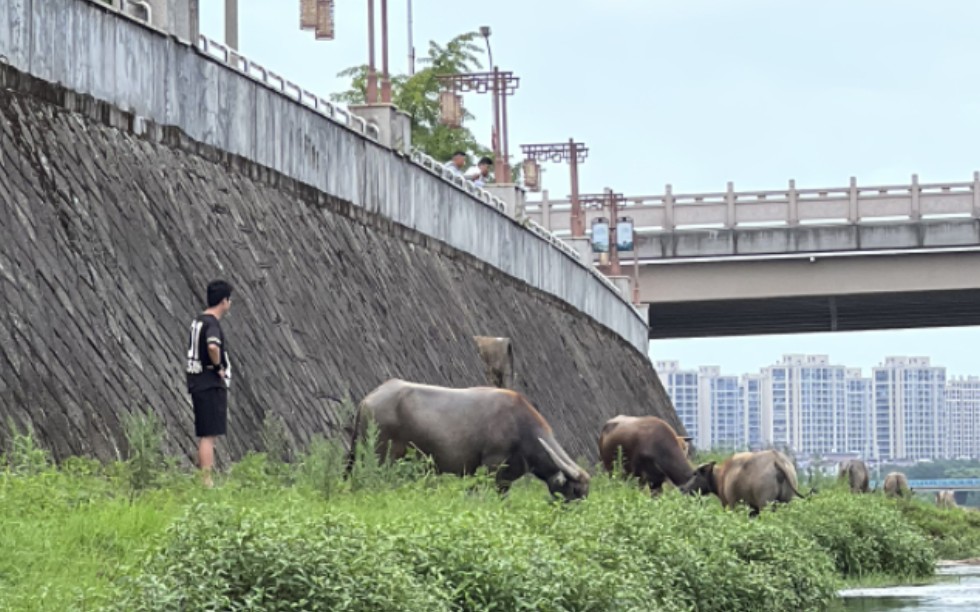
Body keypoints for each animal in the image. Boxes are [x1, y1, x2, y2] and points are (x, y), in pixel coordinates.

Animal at [348, 378, 588, 502]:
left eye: (586, 494)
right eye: (575, 492)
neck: (521, 427)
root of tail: (369, 398)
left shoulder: (500, 477)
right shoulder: (491, 466)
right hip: (381, 456)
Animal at [676, 450, 808, 516]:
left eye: (696, 474)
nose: (682, 488)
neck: (722, 475)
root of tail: (776, 460)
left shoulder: (730, 505)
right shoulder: (752, 509)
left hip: (765, 504)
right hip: (786, 503)